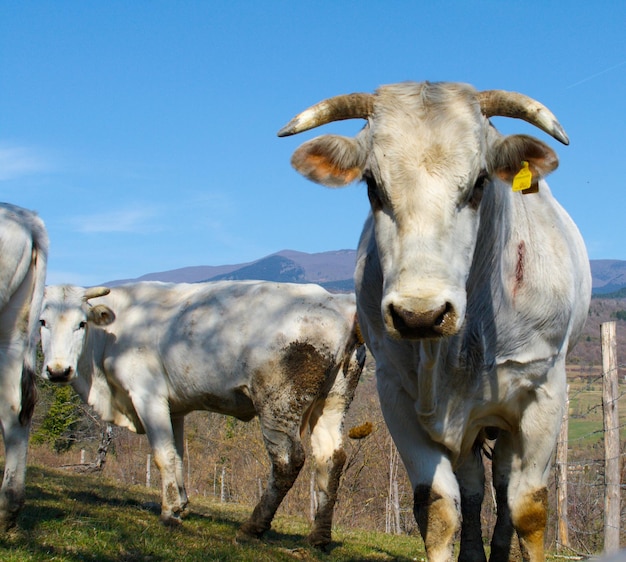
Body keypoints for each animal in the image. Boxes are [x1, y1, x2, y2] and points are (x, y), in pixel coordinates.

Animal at [39, 280, 364, 548]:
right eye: (42, 322)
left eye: (81, 323)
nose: (58, 370)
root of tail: (338, 301)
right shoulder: (175, 408)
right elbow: (178, 454)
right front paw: (181, 504)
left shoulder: (147, 395)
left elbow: (162, 455)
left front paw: (169, 512)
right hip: (333, 401)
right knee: (331, 458)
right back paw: (318, 537)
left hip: (279, 404)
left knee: (287, 461)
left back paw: (252, 528)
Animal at [278, 80, 588, 560]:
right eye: (372, 185)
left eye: (480, 182)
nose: (418, 314)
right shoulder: (395, 394)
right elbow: (439, 507)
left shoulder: (544, 393)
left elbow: (528, 508)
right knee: (476, 488)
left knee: (503, 488)